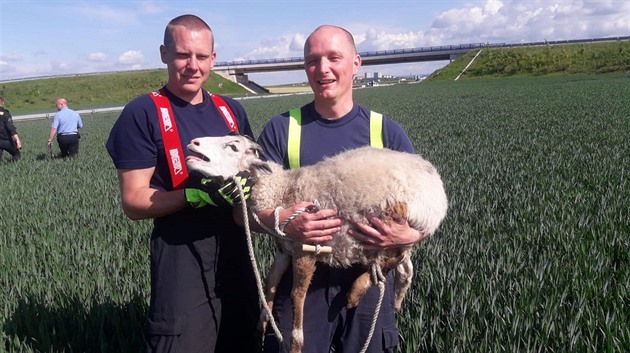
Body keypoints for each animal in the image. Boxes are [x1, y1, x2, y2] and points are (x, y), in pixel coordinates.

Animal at [188, 134, 450, 352]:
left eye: (232, 147)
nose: (193, 143)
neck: (282, 189)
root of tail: (438, 190)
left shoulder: (307, 247)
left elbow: (297, 295)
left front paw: (295, 344)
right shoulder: (285, 248)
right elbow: (271, 282)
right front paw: (263, 323)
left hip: (392, 224)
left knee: (395, 259)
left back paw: (357, 290)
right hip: (404, 236)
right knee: (405, 267)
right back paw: (394, 302)